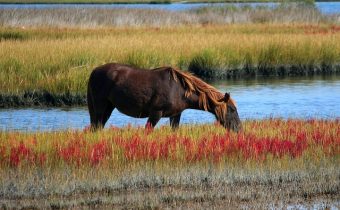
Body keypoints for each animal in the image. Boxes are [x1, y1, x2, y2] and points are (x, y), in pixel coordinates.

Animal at [87, 62, 242, 131]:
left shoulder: (175, 115)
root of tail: (94, 71)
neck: (180, 90)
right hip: (100, 108)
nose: (239, 129)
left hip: (108, 107)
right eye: (232, 109)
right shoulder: (156, 113)